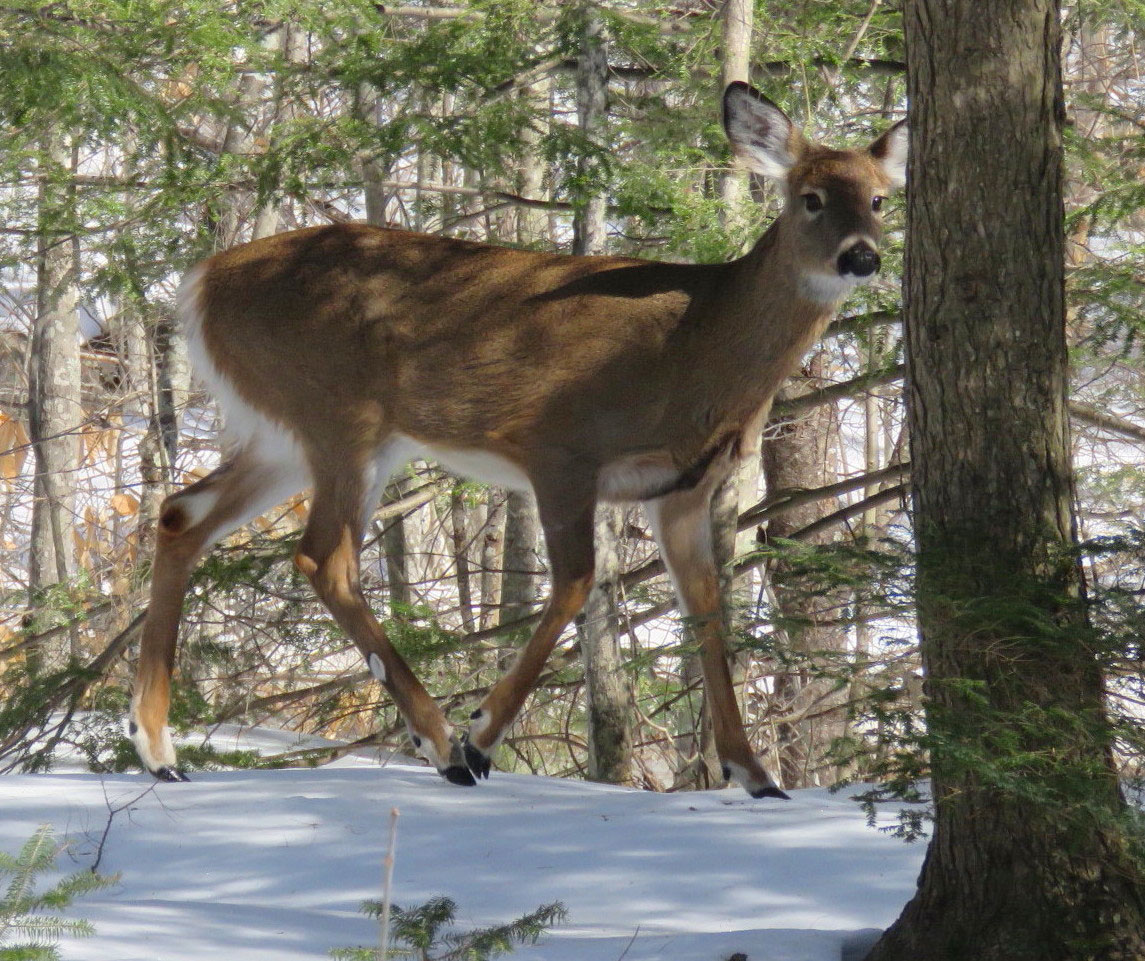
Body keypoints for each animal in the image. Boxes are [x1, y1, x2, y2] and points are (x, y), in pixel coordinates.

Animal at [129, 82, 906, 801]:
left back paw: (159, 749)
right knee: (325, 559)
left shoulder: (681, 488)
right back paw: (441, 742)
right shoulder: (561, 446)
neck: (697, 347)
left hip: (284, 433)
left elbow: (707, 608)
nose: (861, 257)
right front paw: (481, 734)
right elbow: (575, 583)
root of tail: (198, 283)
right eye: (809, 197)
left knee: (182, 513)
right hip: (341, 417)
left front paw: (755, 772)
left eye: (878, 198)